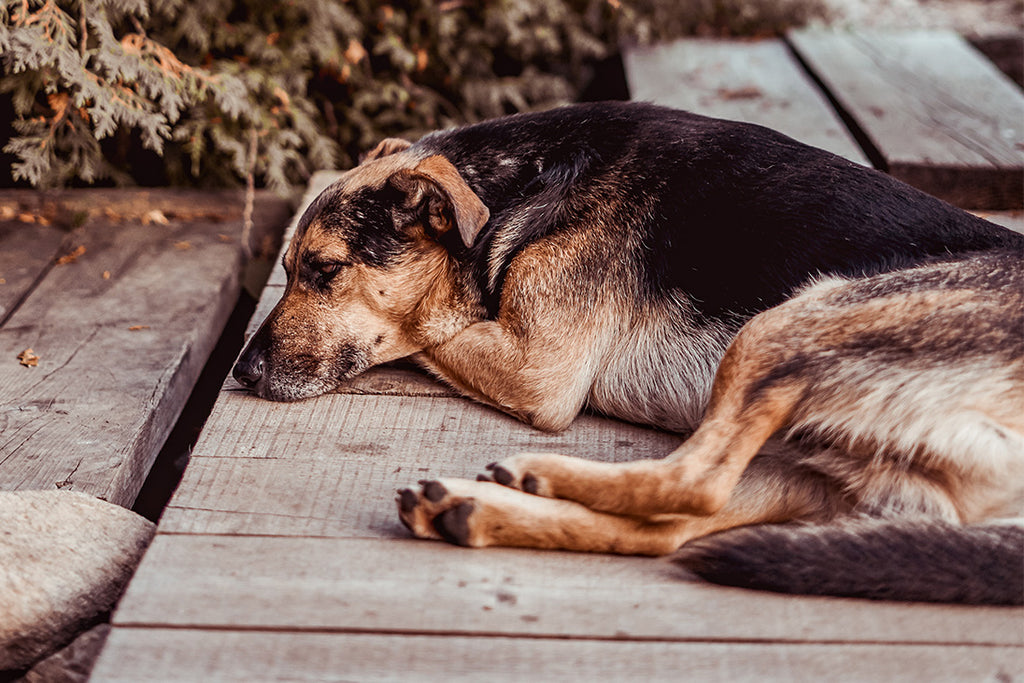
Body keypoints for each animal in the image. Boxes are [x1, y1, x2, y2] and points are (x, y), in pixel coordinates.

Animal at [234, 100, 1024, 602]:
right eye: (289, 267)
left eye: (324, 270)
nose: (240, 372)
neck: (529, 180)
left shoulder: (537, 369)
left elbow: (425, 327)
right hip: (815, 464)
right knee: (669, 528)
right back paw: (475, 508)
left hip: (788, 325)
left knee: (693, 481)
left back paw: (534, 476)